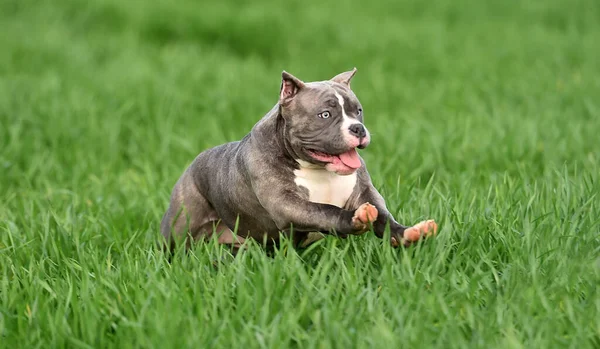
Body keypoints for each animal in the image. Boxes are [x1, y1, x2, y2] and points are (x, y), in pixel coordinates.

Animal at [162, 68, 438, 251]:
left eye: (358, 111)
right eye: (325, 115)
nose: (358, 128)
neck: (319, 168)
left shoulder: (364, 193)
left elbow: (383, 216)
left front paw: (408, 233)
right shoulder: (286, 204)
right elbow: (325, 210)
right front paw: (352, 219)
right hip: (179, 225)